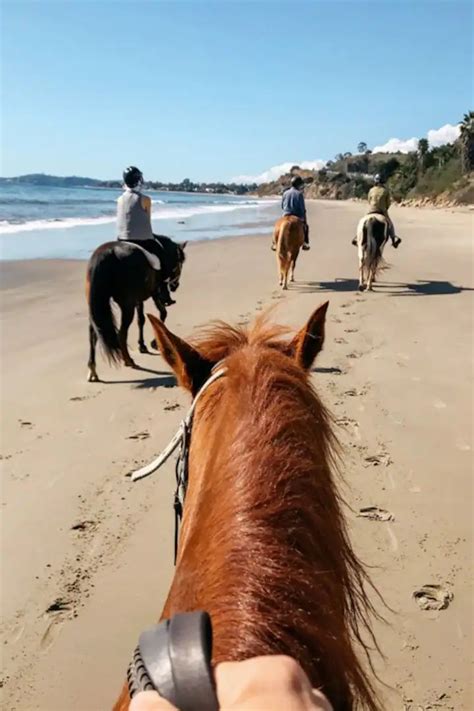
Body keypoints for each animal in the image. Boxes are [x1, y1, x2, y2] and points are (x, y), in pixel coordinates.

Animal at [86, 238, 186, 384]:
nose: (175, 286)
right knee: (121, 333)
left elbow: (141, 320)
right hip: (127, 305)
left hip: (97, 305)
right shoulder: (154, 292)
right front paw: (154, 342)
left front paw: (142, 345)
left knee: (93, 334)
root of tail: (106, 253)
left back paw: (92, 369)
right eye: (180, 263)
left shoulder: (138, 299)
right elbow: (162, 313)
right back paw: (128, 360)